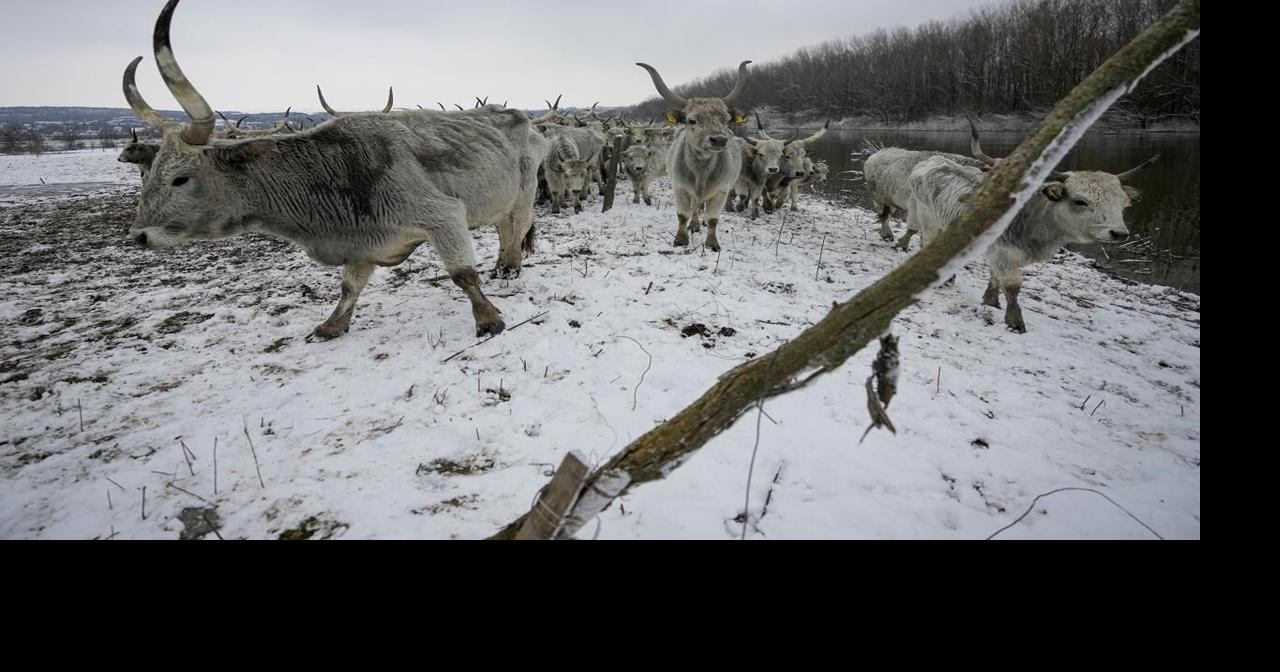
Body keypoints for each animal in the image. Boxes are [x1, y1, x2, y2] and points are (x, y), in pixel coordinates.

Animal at [123, 0, 554, 340]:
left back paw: (510, 267)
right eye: (150, 171)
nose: (139, 236)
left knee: (517, 227)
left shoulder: (443, 216)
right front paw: (332, 326)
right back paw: (503, 265)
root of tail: (520, 116)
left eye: (181, 178)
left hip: (525, 192)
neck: (337, 171)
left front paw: (488, 319)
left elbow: (462, 274)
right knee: (504, 227)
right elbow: (349, 287)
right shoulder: (361, 240)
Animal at [636, 60, 751, 252]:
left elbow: (713, 219)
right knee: (696, 207)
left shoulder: (721, 190)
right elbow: (683, 215)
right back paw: (695, 224)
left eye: (726, 120)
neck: (701, 170)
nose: (719, 140)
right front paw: (681, 239)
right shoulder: (680, 187)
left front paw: (712, 243)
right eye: (692, 120)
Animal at [906, 154, 1154, 332]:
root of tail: (932, 160)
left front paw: (990, 301)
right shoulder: (1003, 253)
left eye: (1122, 202)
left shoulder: (1000, 253)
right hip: (928, 220)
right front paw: (1014, 321)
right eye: (1080, 201)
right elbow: (1013, 286)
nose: (1119, 233)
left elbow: (996, 278)